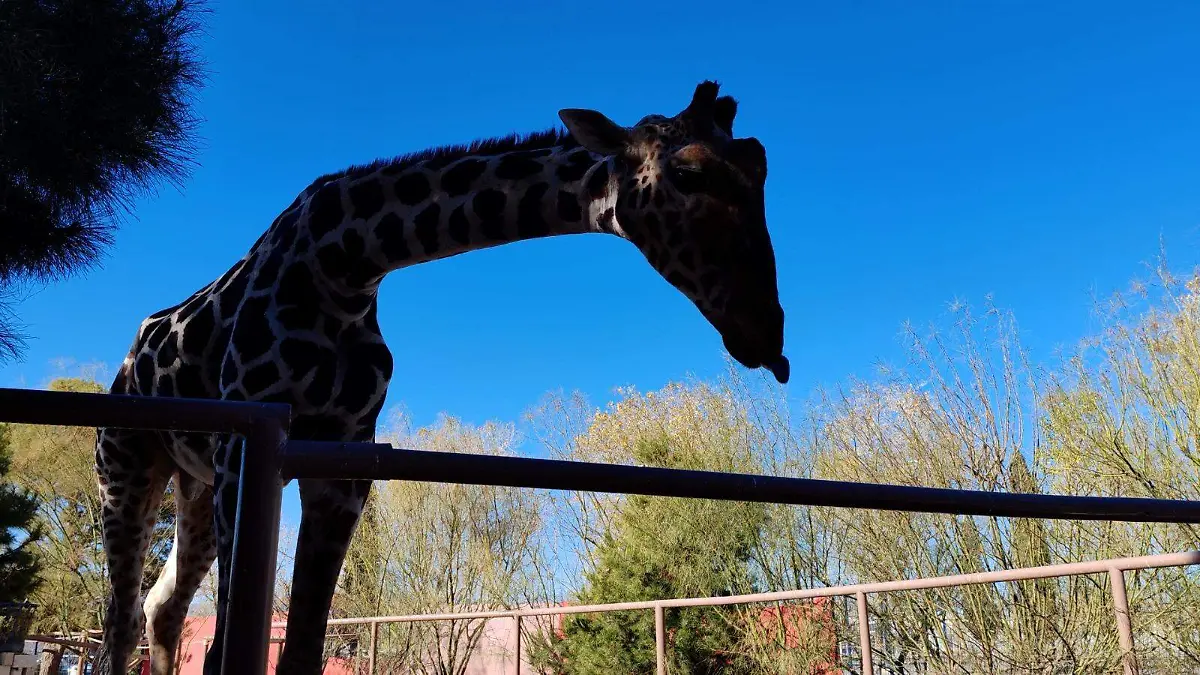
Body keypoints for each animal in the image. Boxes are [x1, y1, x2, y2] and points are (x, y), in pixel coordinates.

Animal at [93, 80, 789, 674]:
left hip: (195, 483)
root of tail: (127, 365)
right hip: (126, 467)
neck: (346, 265)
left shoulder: (342, 461)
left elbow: (303, 650)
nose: (769, 340)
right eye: (688, 171)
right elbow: (227, 651)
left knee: (162, 607)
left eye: (760, 163)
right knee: (121, 620)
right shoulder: (250, 442)